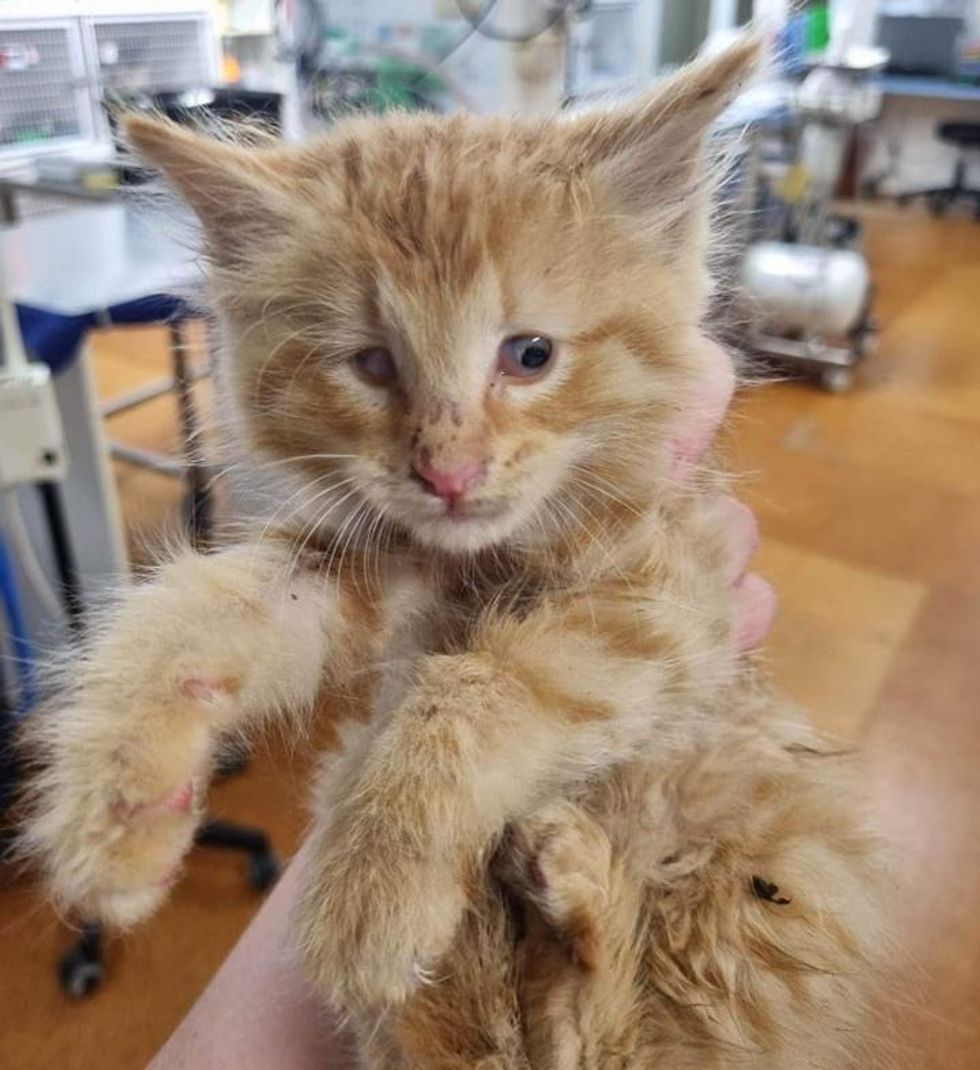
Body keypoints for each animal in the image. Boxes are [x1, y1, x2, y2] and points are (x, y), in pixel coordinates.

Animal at [23, 35, 885, 1070]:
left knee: (609, 1039)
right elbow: (184, 618)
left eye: (530, 355)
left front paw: (377, 885)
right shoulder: (348, 569)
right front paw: (114, 809)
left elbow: (474, 689)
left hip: (747, 886)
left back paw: (574, 878)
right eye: (372, 365)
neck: (478, 558)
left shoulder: (665, 597)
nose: (449, 472)